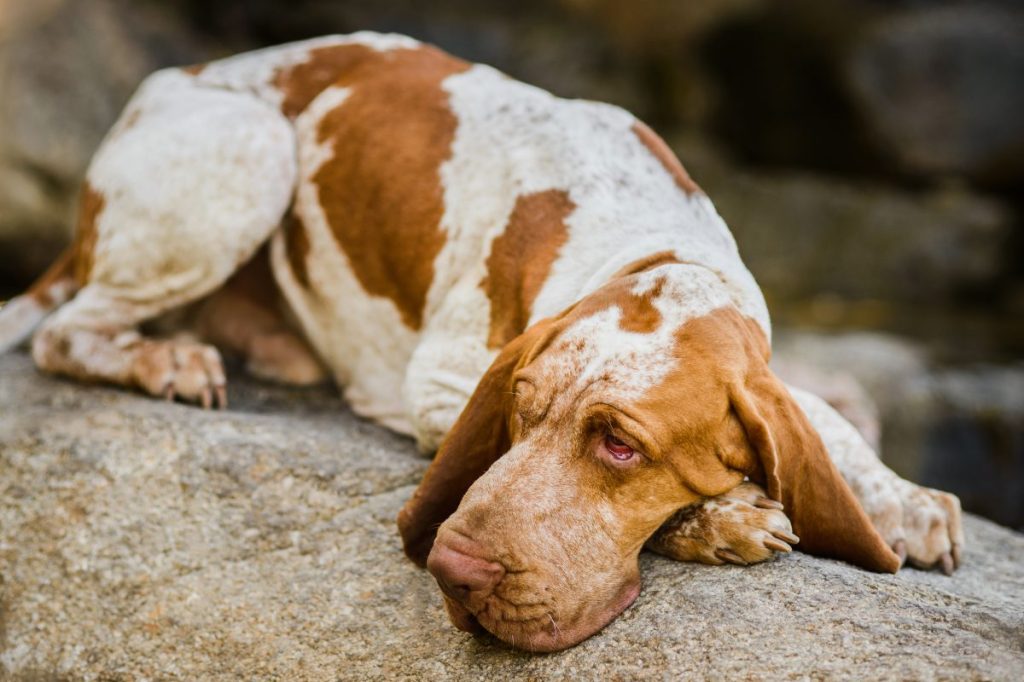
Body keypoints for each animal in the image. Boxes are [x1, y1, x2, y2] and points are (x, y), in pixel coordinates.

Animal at [0, 33, 958, 655]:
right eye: (517, 413)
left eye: (620, 444)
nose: (453, 568)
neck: (651, 245)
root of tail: (172, 79)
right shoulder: (440, 382)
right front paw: (722, 518)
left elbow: (825, 421)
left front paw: (900, 496)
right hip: (253, 150)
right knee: (65, 333)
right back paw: (161, 358)